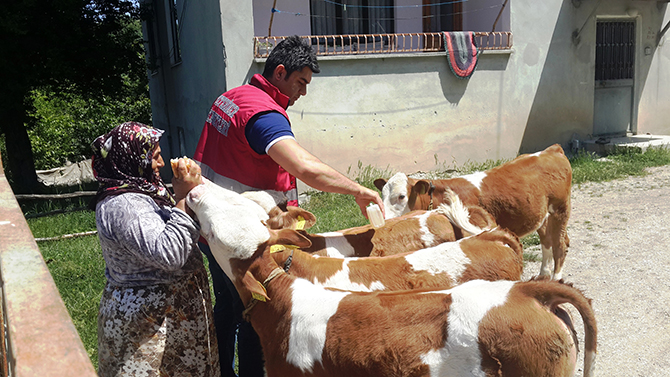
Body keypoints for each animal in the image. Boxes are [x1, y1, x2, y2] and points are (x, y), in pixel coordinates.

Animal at [376, 144, 576, 280]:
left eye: (401, 196)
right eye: (382, 194)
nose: (384, 218)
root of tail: (551, 150)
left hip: (560, 208)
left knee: (559, 244)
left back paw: (556, 278)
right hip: (542, 215)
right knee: (547, 240)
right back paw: (543, 274)